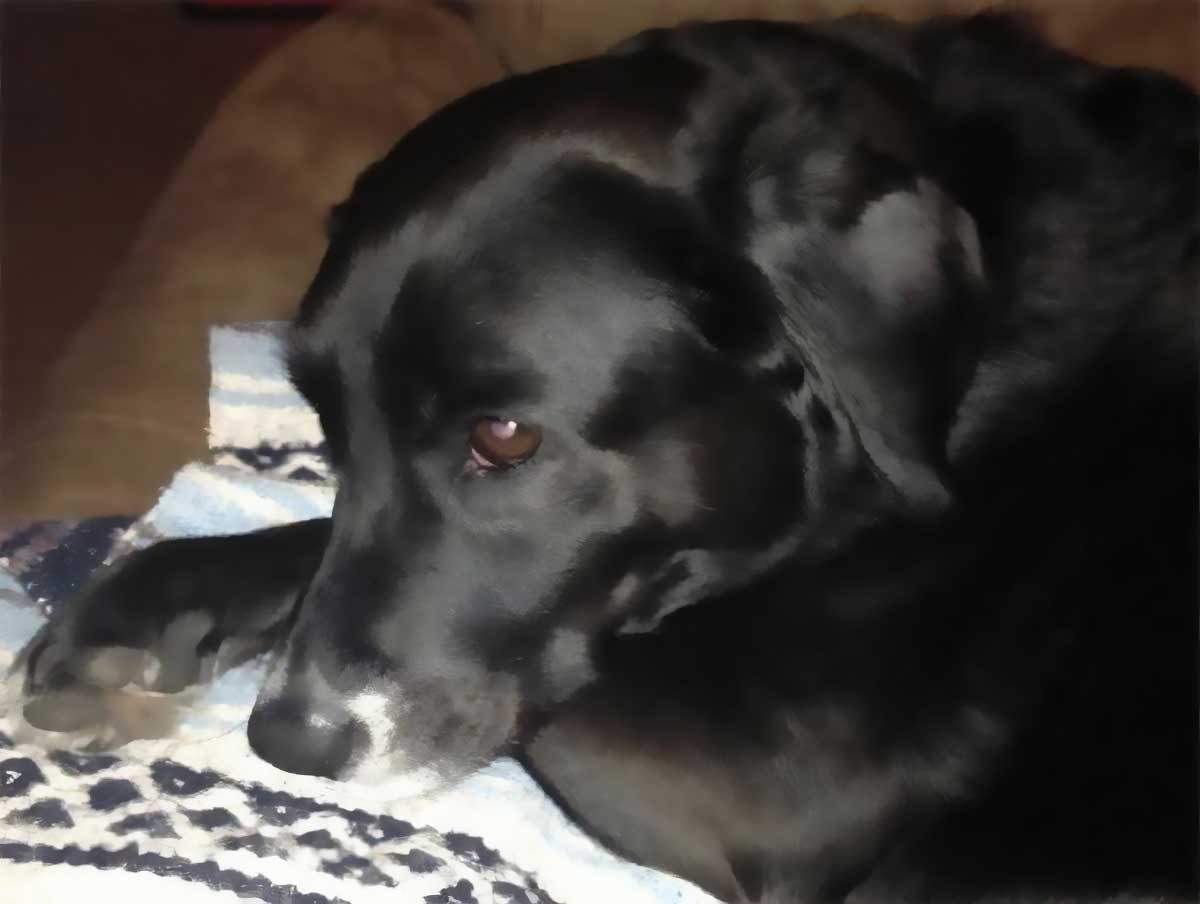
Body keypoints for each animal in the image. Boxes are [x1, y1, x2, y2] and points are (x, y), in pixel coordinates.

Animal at [14, 15, 1195, 902]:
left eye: (505, 437)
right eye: (326, 421)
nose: (289, 741)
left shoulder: (783, 788)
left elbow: (560, 683)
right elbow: (318, 540)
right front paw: (145, 604)